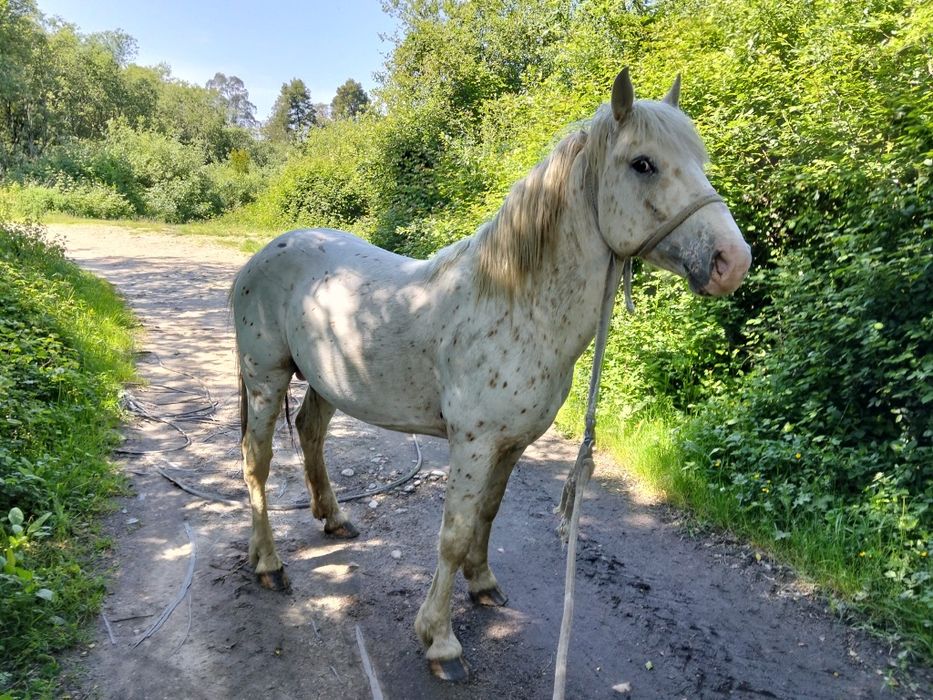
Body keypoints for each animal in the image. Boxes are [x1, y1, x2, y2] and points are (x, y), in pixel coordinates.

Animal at [230, 68, 751, 681]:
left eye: (701, 158)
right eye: (642, 163)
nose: (732, 262)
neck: (515, 305)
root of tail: (263, 255)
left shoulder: (514, 442)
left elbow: (489, 513)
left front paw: (483, 585)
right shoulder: (473, 444)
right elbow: (453, 535)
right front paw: (440, 641)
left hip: (326, 380)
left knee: (311, 434)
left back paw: (334, 520)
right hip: (266, 379)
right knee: (257, 463)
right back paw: (268, 563)